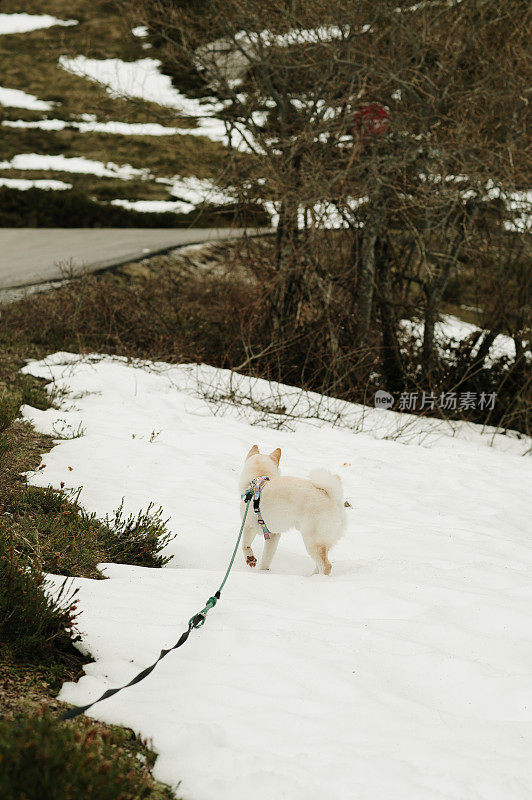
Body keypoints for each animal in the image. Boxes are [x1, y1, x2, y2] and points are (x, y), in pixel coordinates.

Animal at [239, 444, 348, 576]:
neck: (259, 477)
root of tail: (331, 496)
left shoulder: (249, 526)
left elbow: (245, 545)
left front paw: (250, 559)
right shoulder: (273, 535)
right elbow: (267, 557)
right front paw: (264, 573)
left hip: (312, 541)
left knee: (326, 566)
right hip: (322, 541)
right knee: (319, 564)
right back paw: (313, 576)